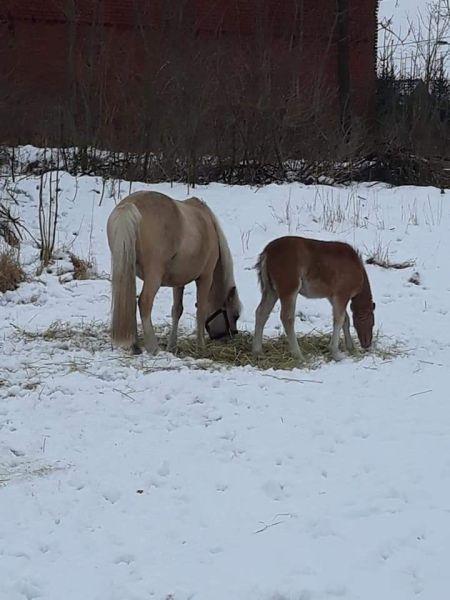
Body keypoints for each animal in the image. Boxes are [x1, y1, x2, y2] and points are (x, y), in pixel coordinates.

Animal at [107, 190, 241, 354]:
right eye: (235, 315)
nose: (229, 339)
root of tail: (129, 206)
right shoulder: (205, 277)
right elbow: (201, 310)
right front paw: (200, 346)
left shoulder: (179, 282)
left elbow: (177, 310)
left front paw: (172, 346)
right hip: (154, 275)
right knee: (144, 302)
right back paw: (153, 347)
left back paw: (136, 346)